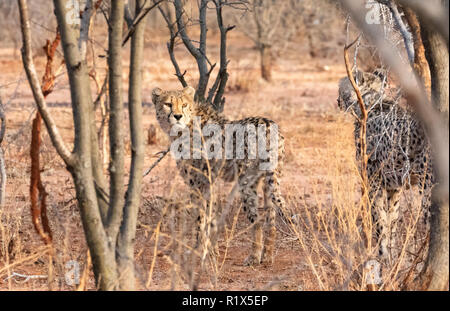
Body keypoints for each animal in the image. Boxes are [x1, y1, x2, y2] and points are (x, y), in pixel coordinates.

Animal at [151, 86, 284, 266]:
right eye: (168, 104)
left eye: (184, 104)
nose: (177, 116)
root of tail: (268, 123)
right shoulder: (209, 183)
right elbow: (211, 217)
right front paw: (211, 251)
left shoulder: (199, 184)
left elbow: (201, 218)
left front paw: (201, 252)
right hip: (267, 179)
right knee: (271, 218)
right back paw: (267, 257)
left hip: (246, 182)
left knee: (257, 220)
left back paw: (254, 257)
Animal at [338, 70, 432, 260]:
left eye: (341, 88)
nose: (337, 101)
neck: (370, 102)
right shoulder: (393, 187)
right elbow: (391, 222)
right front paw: (392, 255)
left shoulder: (374, 183)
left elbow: (379, 221)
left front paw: (382, 255)